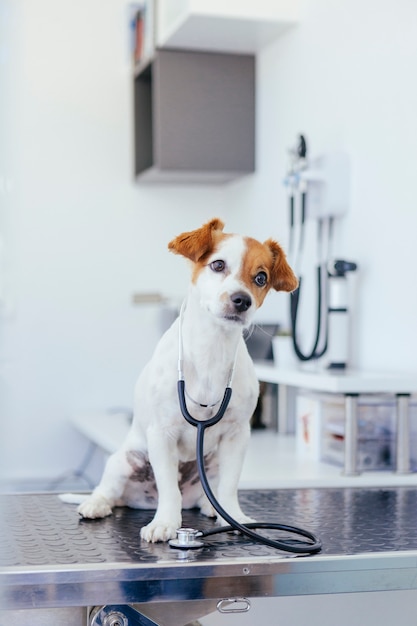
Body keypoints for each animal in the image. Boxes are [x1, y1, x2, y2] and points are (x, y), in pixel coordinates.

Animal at [70, 219, 296, 540]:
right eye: (218, 265)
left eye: (261, 277)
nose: (242, 300)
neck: (212, 349)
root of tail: (140, 500)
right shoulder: (161, 435)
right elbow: (169, 489)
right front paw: (165, 522)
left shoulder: (237, 436)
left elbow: (229, 488)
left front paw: (235, 517)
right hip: (123, 461)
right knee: (110, 491)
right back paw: (96, 504)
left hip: (211, 463)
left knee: (209, 493)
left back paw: (212, 507)